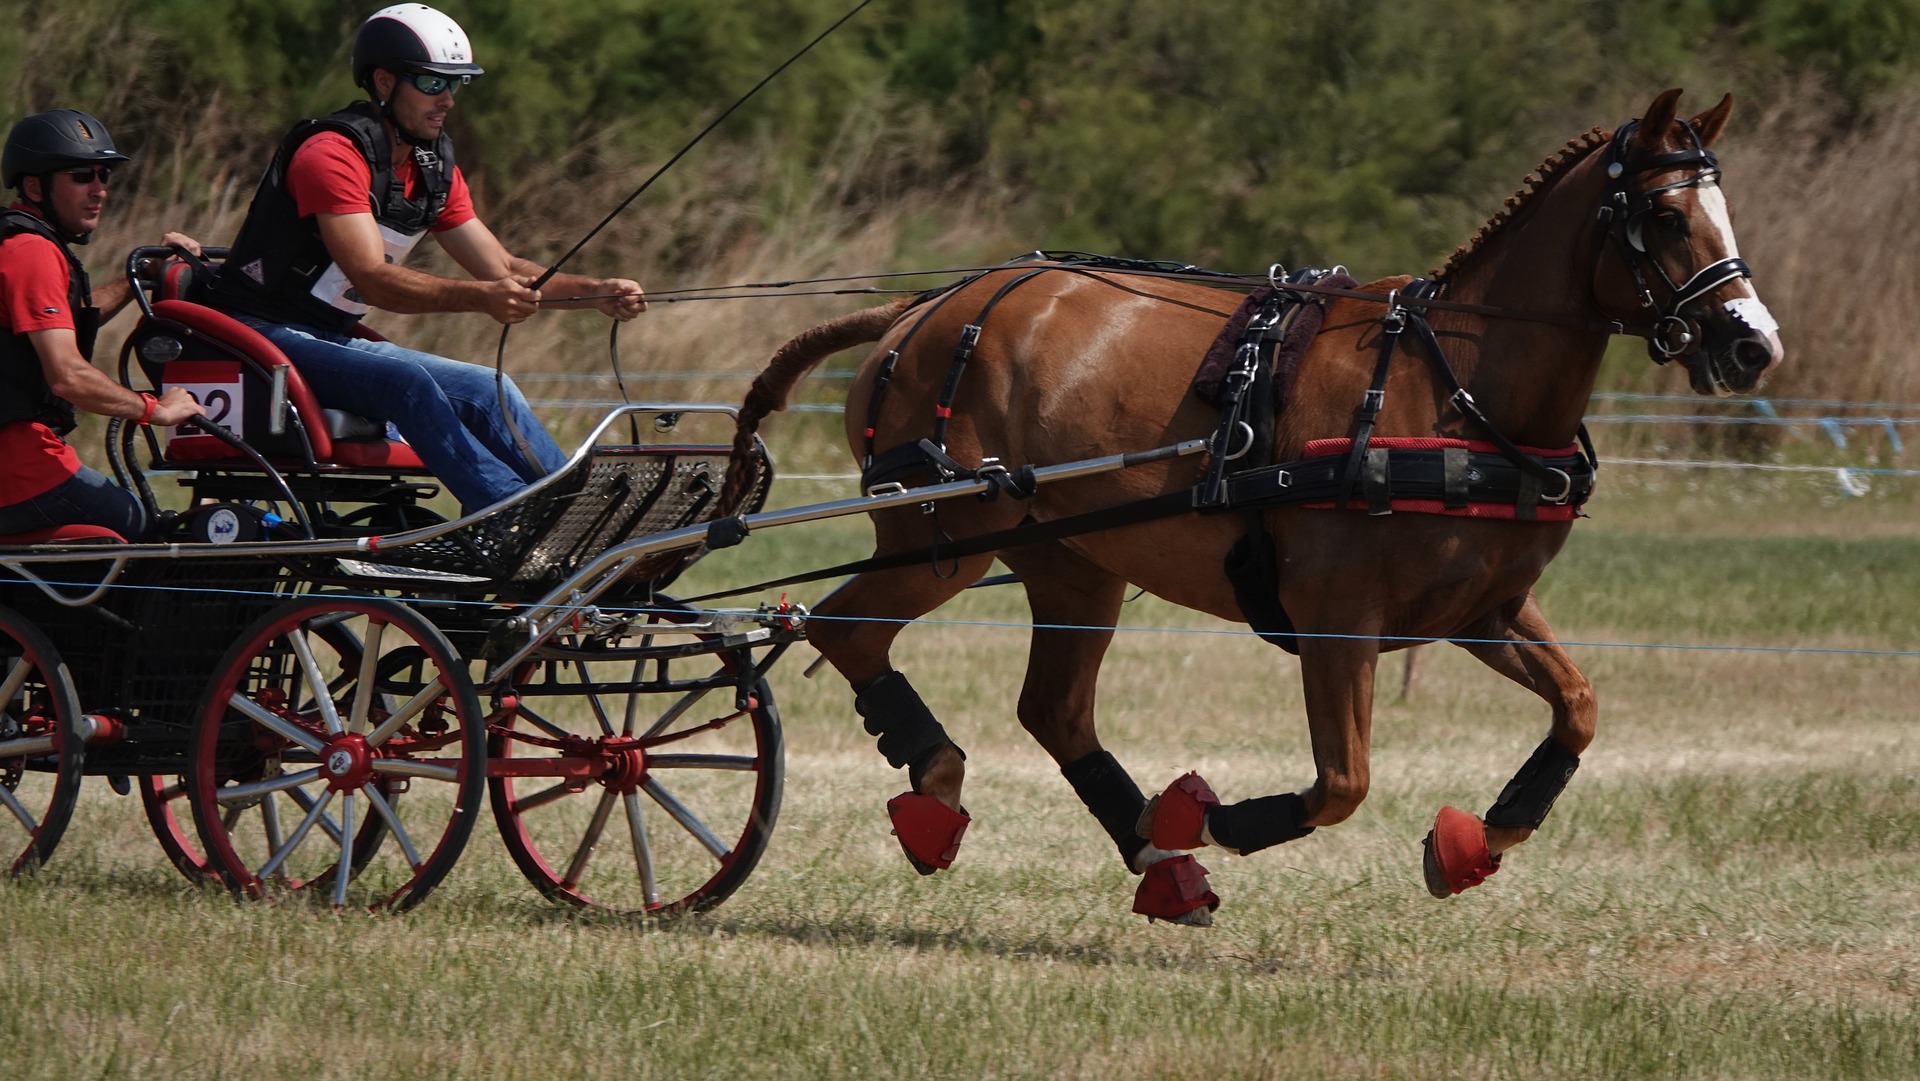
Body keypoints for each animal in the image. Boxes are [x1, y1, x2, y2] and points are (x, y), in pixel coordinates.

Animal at [721, 88, 1781, 925]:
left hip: (1072, 563)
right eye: (1663, 214)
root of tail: (922, 307)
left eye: (1726, 210)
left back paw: (1156, 858)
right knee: (848, 630)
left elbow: (1580, 707)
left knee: (1051, 708)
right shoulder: (1337, 621)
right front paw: (1214, 814)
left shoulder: (1482, 610)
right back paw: (942, 788)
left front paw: (1481, 837)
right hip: (945, 534)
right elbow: (1344, 781)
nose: (1752, 345)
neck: (1449, 385)